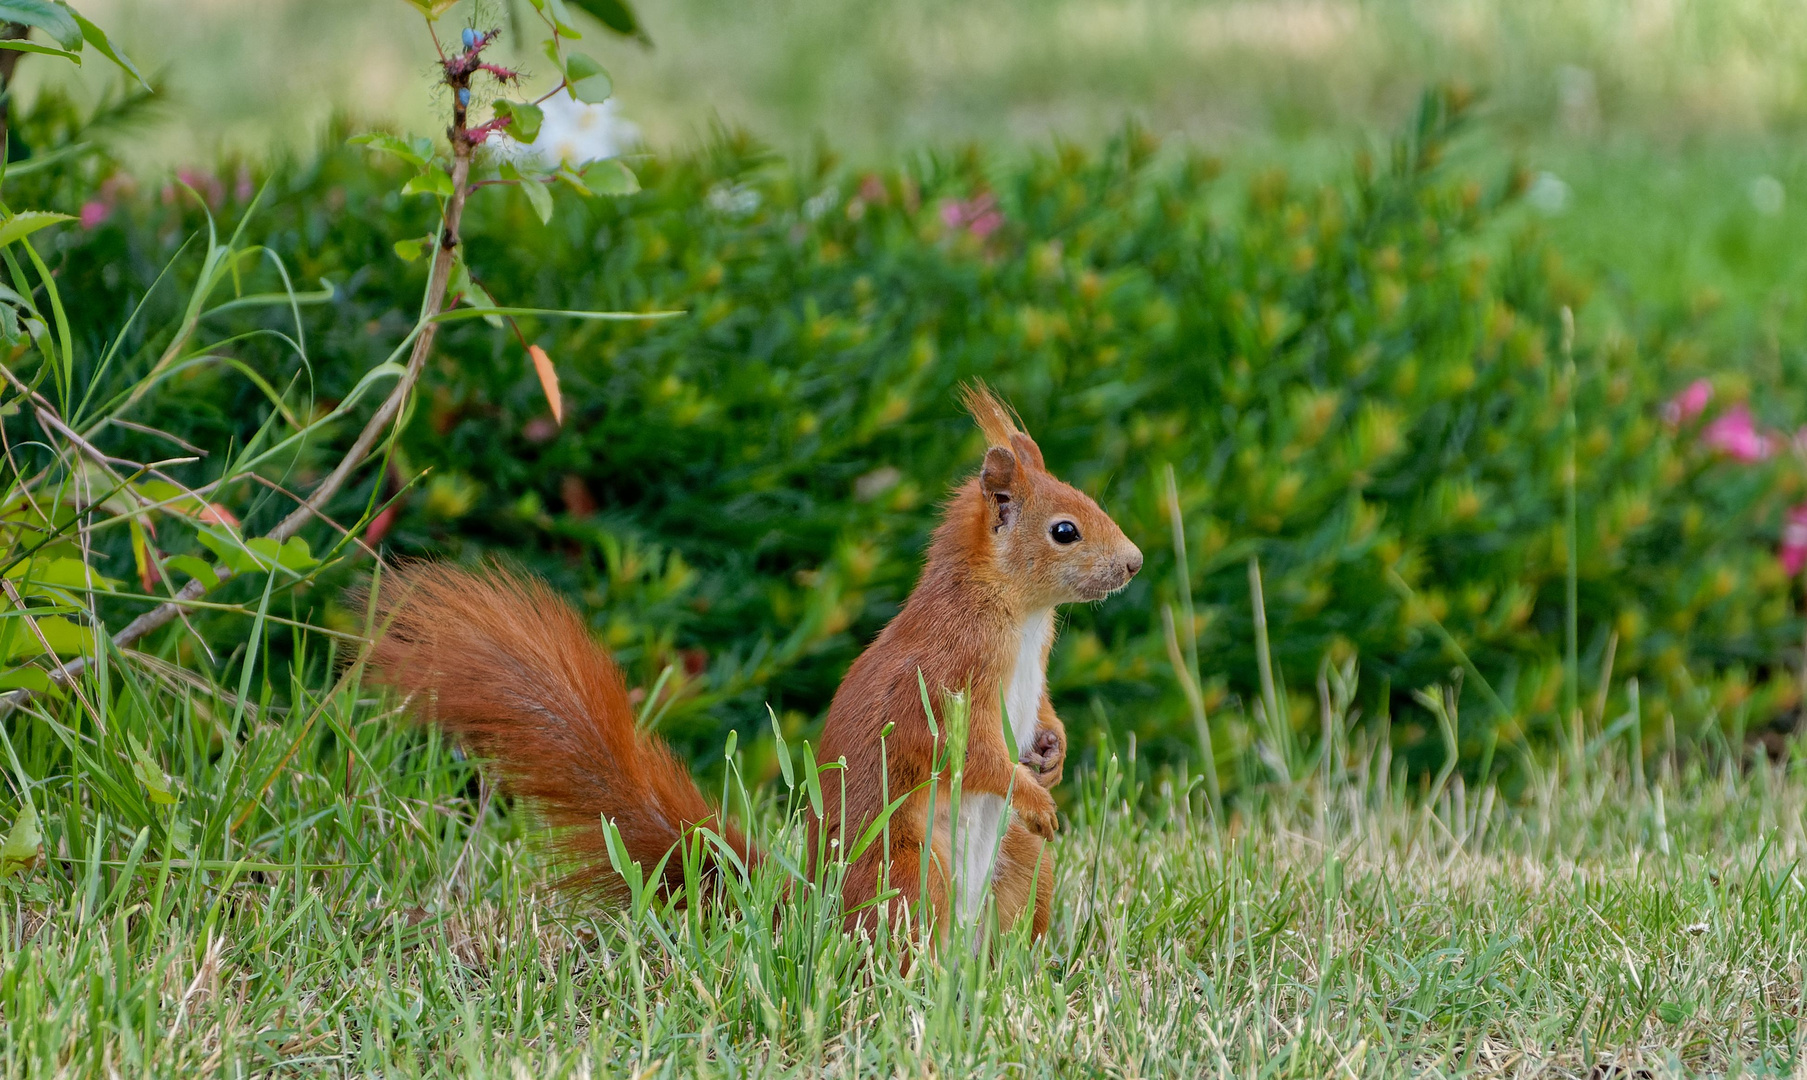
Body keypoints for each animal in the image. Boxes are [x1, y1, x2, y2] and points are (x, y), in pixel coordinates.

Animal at [359, 386, 1134, 939]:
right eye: (1064, 530)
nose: (1134, 563)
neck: (1020, 616)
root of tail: (808, 906)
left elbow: (1040, 712)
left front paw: (1051, 751)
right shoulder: (947, 674)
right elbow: (965, 753)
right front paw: (1032, 792)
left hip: (1020, 866)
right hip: (907, 872)